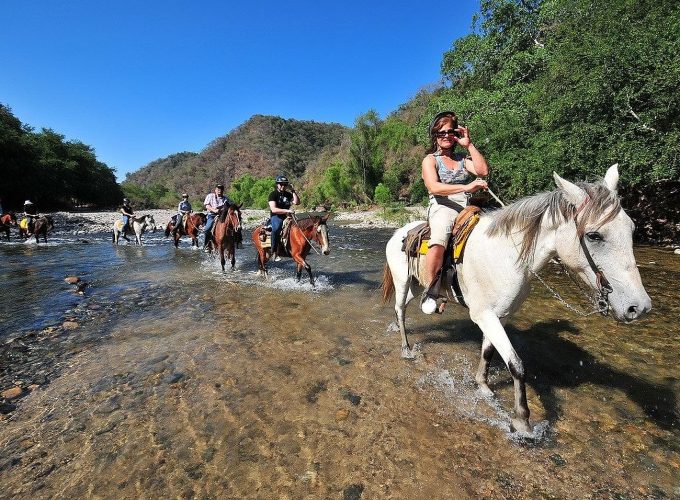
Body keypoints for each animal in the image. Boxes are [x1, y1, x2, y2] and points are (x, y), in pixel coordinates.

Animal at [382, 166, 652, 432]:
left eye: (631, 229)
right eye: (594, 235)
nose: (638, 307)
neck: (506, 256)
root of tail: (399, 232)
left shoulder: (499, 315)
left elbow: (488, 352)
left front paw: (483, 386)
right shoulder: (483, 315)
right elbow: (516, 365)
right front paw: (522, 420)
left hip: (417, 285)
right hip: (402, 281)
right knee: (399, 309)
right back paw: (406, 349)